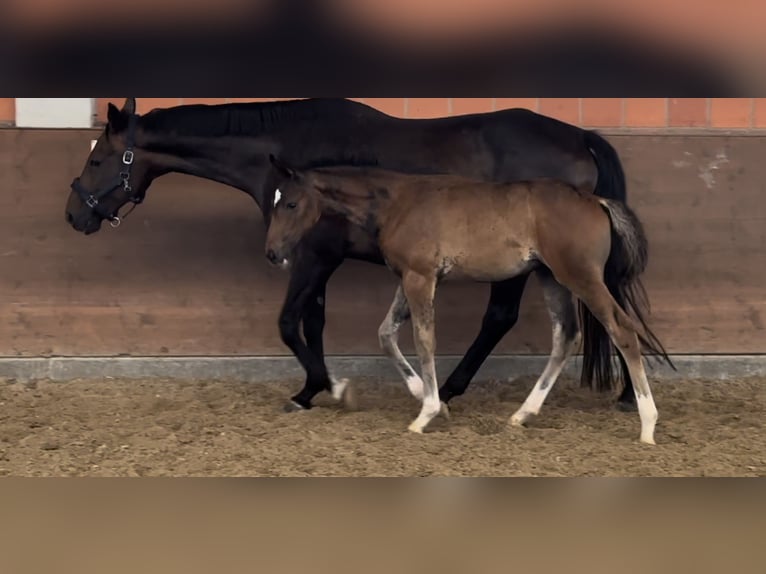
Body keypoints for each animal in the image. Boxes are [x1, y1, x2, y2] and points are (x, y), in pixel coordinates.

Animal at [66, 98, 640, 414]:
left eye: (97, 159)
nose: (75, 214)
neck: (287, 154)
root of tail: (580, 135)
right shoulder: (320, 259)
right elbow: (312, 322)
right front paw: (316, 386)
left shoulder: (311, 255)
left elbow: (288, 322)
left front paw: (322, 389)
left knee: (503, 316)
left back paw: (452, 389)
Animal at [268, 162, 676, 446]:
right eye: (275, 201)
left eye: (290, 202)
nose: (272, 253)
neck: (397, 201)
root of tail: (596, 200)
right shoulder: (410, 276)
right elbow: (386, 334)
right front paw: (422, 394)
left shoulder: (420, 277)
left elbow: (424, 340)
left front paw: (427, 412)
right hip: (550, 277)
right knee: (566, 336)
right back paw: (522, 414)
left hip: (580, 276)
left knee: (621, 330)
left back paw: (647, 425)